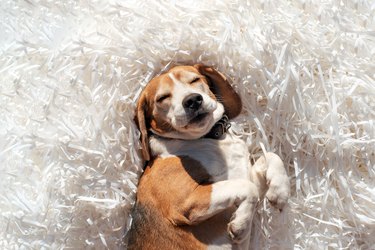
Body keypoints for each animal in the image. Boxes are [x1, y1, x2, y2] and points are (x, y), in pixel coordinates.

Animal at [129, 65, 290, 250]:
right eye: (162, 98)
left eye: (194, 79)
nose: (192, 100)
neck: (209, 137)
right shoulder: (185, 201)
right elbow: (247, 188)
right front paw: (241, 224)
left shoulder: (244, 173)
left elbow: (270, 156)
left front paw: (280, 190)